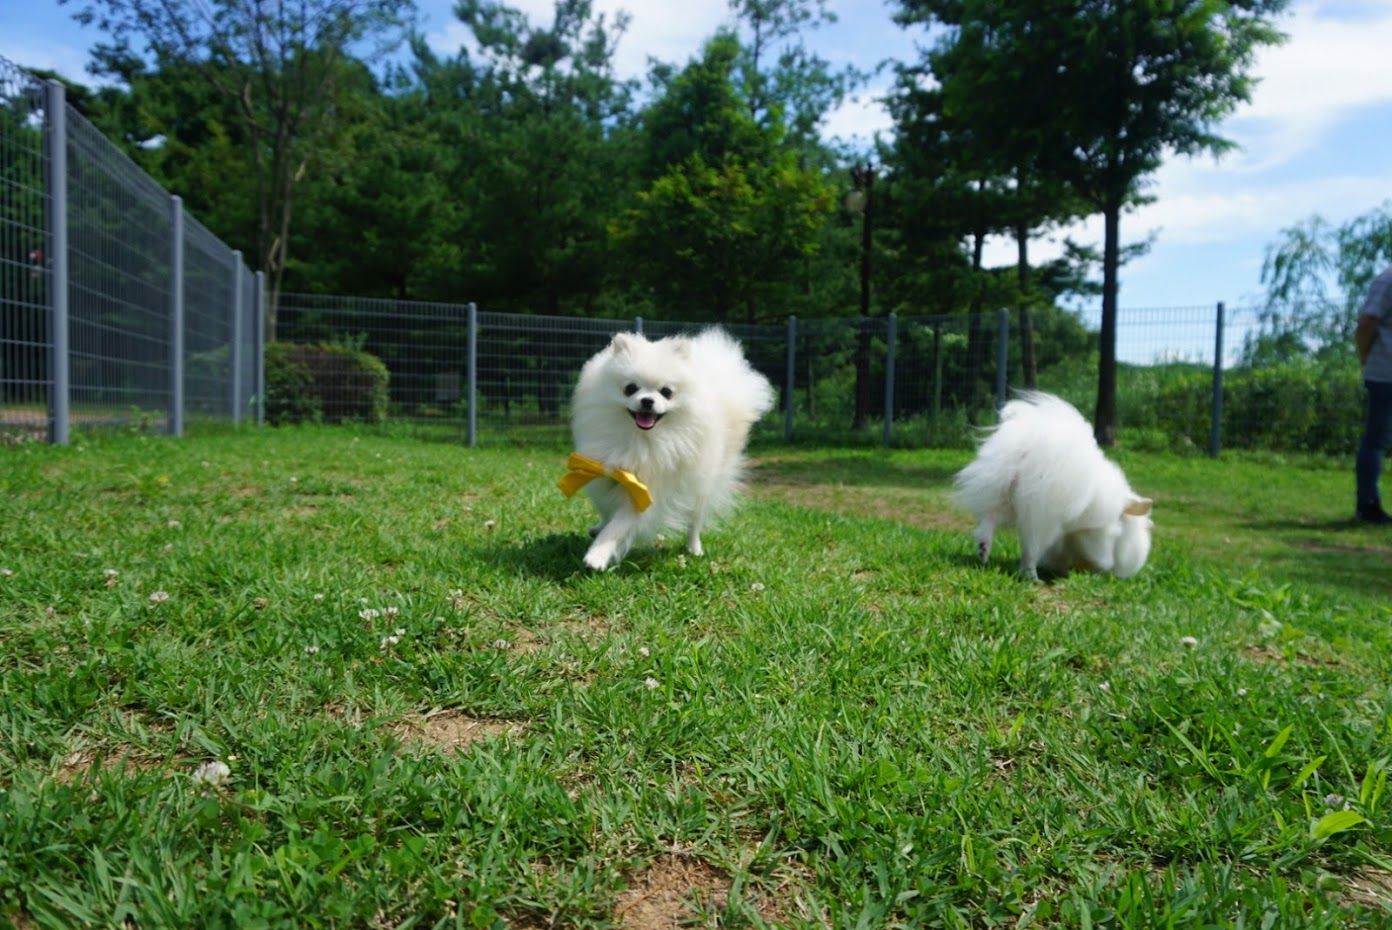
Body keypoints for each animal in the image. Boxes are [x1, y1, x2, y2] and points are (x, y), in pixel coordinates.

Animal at [957, 392, 1152, 581]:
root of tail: (1025, 453)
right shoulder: (1096, 533)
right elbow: (1098, 555)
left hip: (1003, 496)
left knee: (988, 520)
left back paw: (983, 551)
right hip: (1041, 520)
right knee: (1030, 550)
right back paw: (1032, 577)